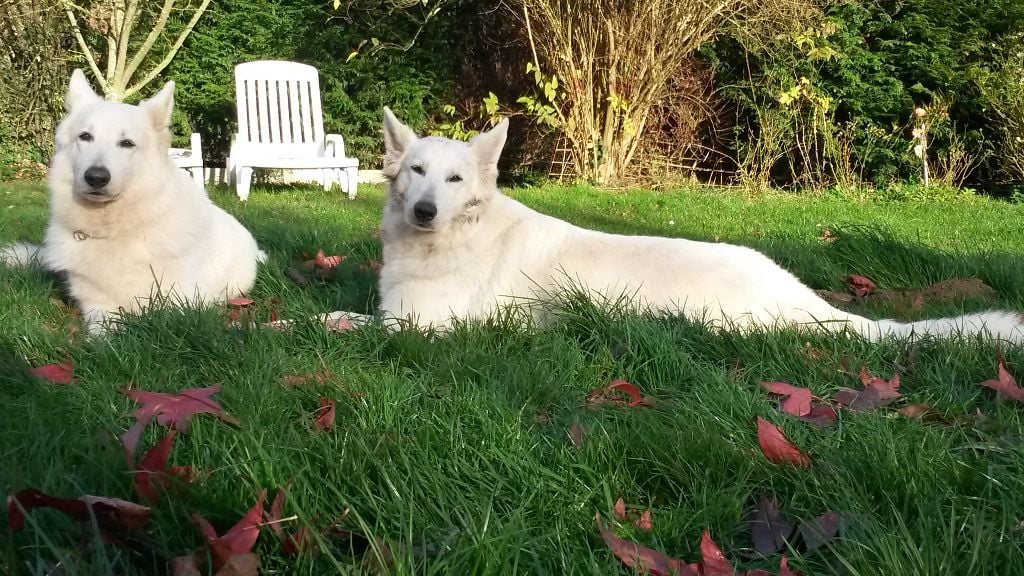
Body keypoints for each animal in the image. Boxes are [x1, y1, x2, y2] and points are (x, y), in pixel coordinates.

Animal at [2, 69, 266, 334]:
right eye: (85, 137)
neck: (114, 231)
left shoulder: (179, 305)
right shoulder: (98, 308)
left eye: (127, 143)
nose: (96, 177)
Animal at [376, 107, 1024, 340]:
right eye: (417, 172)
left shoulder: (421, 327)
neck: (457, 235)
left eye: (455, 180)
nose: (424, 212)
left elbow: (353, 325)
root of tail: (798, 297)